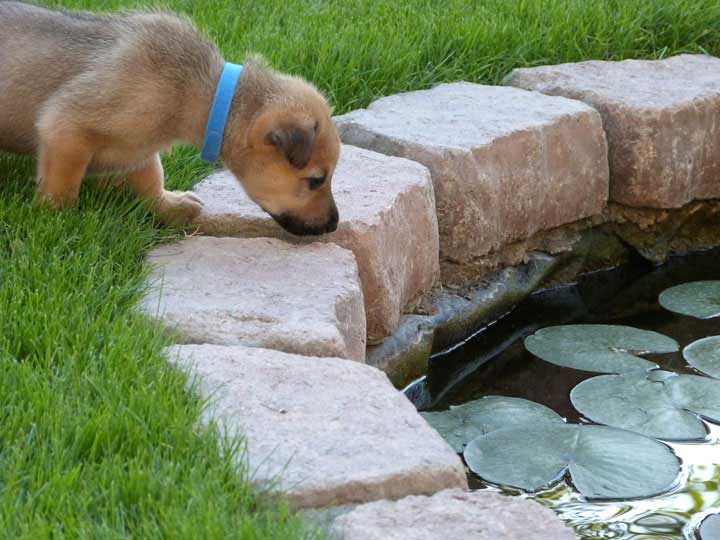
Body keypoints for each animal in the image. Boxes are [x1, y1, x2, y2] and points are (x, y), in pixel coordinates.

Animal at [0, 1, 340, 234]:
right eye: (316, 180)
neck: (198, 91)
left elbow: (151, 180)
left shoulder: (140, 150)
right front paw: (55, 222)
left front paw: (170, 207)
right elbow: (63, 188)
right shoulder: (64, 126)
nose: (334, 225)